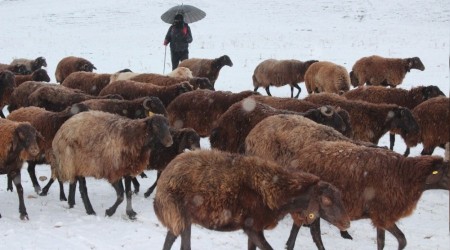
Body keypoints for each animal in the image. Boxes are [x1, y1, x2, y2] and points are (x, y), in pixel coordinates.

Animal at [153, 149, 350, 249]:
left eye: (340, 197)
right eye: (326, 200)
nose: (347, 223)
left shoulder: (253, 229)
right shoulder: (252, 227)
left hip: (179, 218)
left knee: (172, 240)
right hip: (179, 215)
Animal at [282, 141, 446, 250]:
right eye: (448, 171)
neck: (405, 175)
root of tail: (299, 156)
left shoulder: (380, 215)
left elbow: (383, 241)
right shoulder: (383, 214)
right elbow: (401, 239)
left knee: (305, 227)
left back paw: (289, 245)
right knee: (313, 231)